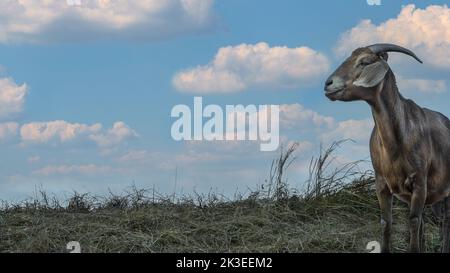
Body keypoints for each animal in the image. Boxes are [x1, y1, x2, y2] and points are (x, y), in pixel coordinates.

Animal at [324, 43, 450, 252]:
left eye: (365, 62)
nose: (328, 83)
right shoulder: (382, 183)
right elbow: (386, 222)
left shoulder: (419, 182)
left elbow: (413, 220)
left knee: (444, 222)